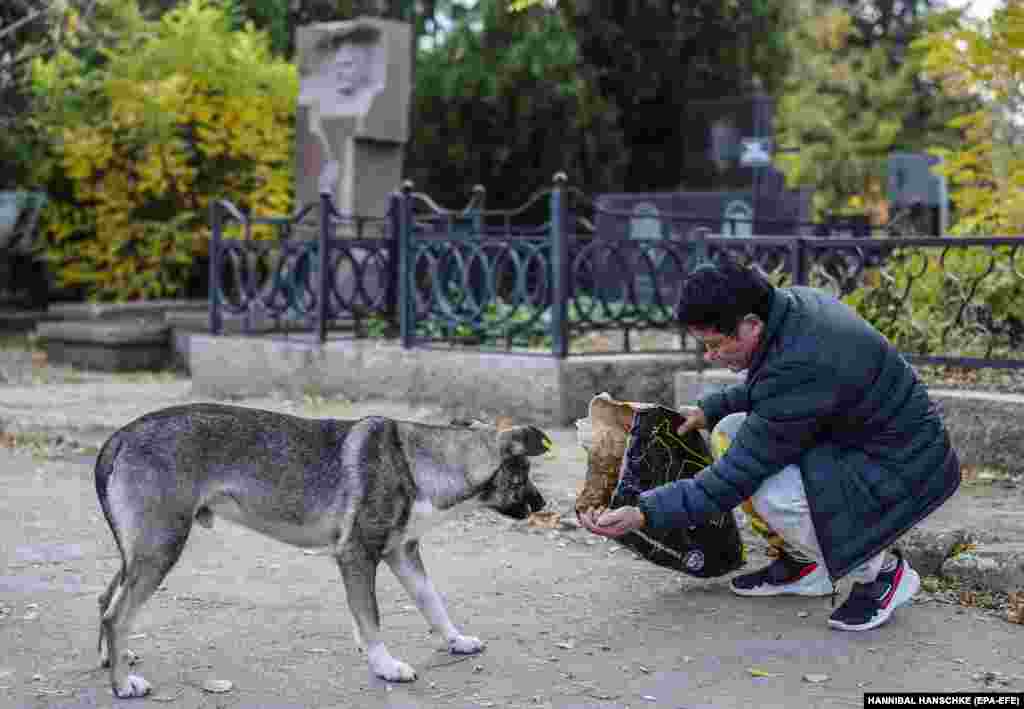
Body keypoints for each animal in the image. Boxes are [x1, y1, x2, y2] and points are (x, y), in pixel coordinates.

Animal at [92, 403, 548, 696]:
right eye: (523, 473)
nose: (544, 504)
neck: (420, 462)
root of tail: (121, 436)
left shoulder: (402, 554)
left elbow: (432, 603)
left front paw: (456, 641)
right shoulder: (358, 556)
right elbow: (372, 618)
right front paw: (385, 667)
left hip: (144, 550)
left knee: (106, 599)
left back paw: (114, 659)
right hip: (161, 547)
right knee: (117, 614)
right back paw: (122, 685)